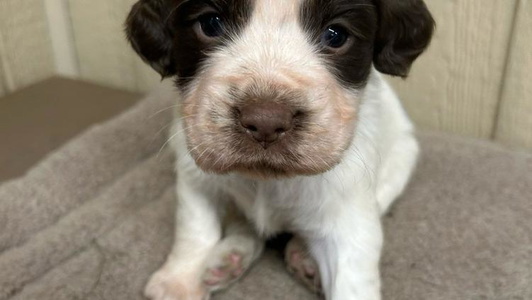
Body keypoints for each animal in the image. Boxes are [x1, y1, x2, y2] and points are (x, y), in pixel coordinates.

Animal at [127, 0, 434, 300]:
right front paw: (178, 281)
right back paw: (230, 257)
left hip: (401, 159)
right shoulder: (194, 171)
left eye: (336, 35)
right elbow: (195, 227)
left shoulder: (349, 213)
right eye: (210, 24)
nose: (266, 122)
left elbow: (352, 277)